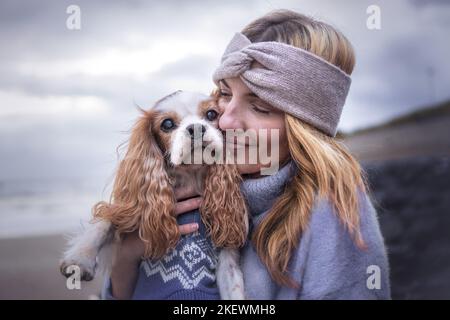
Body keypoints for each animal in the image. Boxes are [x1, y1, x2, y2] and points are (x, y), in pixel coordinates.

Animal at [59, 90, 250, 300]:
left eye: (211, 114)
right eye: (167, 124)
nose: (196, 128)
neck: (191, 177)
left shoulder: (227, 259)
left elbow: (234, 290)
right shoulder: (130, 210)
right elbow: (108, 219)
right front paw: (80, 258)